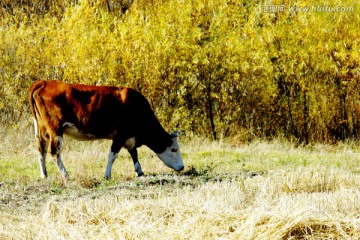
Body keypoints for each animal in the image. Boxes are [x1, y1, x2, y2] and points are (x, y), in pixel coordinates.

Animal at [29, 80, 184, 180]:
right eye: (174, 149)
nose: (182, 167)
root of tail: (44, 82)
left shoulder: (129, 137)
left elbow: (134, 153)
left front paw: (139, 171)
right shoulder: (120, 135)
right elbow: (112, 155)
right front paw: (107, 175)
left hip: (42, 130)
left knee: (41, 150)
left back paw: (44, 175)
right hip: (56, 130)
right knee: (54, 152)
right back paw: (65, 174)